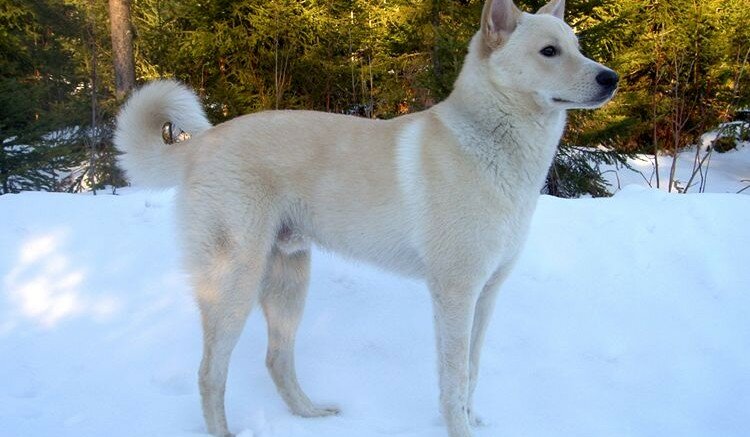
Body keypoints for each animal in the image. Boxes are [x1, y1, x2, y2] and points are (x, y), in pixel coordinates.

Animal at [116, 0, 616, 436]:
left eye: (577, 46)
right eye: (549, 51)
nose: (611, 78)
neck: (488, 143)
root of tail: (201, 144)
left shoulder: (487, 294)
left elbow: (472, 372)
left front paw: (473, 421)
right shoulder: (455, 293)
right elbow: (453, 380)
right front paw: (459, 428)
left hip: (288, 281)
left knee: (276, 359)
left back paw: (311, 413)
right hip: (233, 283)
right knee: (210, 374)